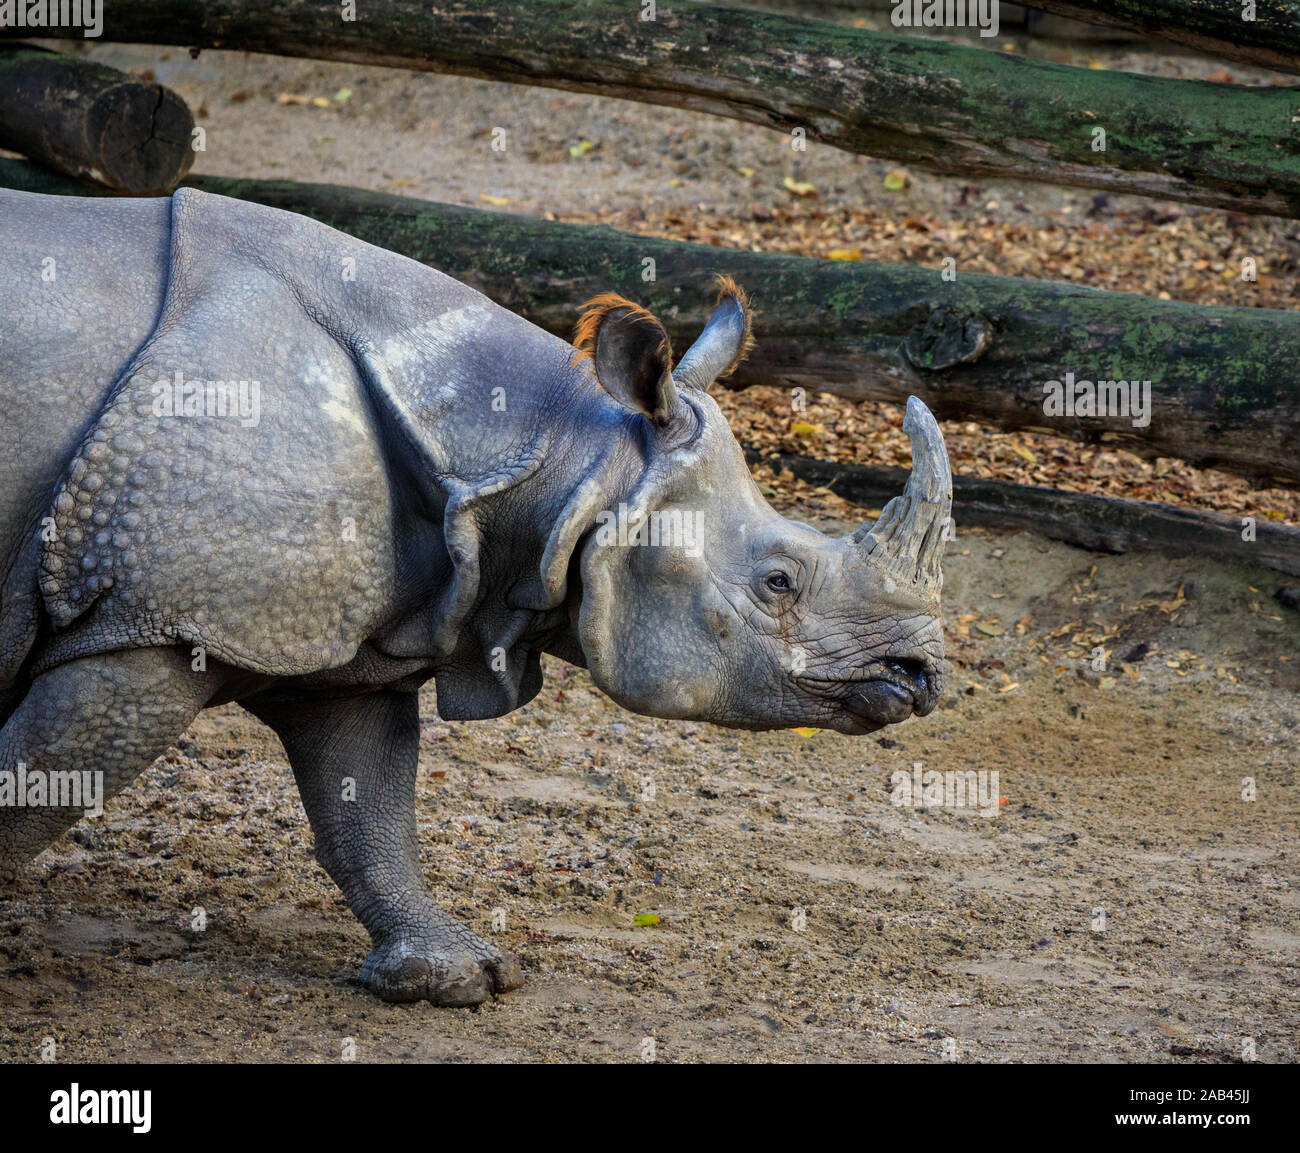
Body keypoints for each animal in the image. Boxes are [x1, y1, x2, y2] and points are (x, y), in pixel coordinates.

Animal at [0, 187, 951, 1005]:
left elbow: (367, 805)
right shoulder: (154, 623)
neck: (549, 455)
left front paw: (450, 978)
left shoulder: (350, 631)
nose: (922, 673)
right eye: (778, 581)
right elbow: (41, 781)